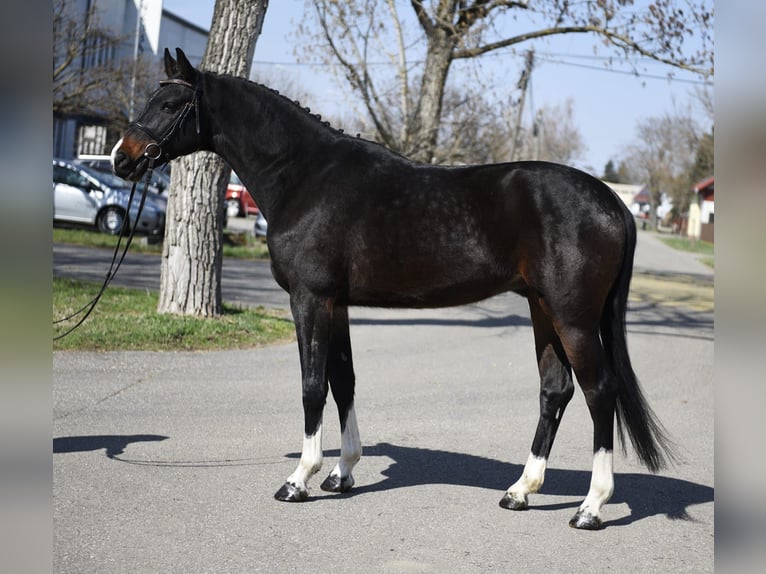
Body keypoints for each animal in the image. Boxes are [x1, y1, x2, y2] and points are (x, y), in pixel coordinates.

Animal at [112, 48, 674, 530]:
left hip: (573, 318)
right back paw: (520, 491)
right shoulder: (336, 304)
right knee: (555, 390)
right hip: (543, 310)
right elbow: (343, 381)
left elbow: (312, 386)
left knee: (600, 392)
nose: (121, 158)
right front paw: (341, 473)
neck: (304, 176)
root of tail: (613, 202)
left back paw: (591, 507)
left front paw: (299, 480)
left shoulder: (310, 299)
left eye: (169, 104)